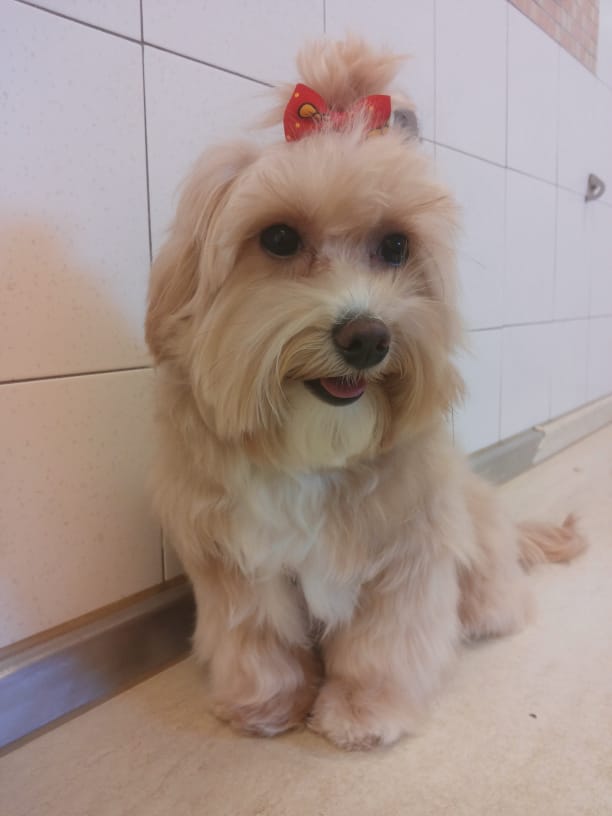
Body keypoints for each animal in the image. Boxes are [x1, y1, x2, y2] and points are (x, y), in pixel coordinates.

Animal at [145, 38, 586, 750]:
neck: (311, 455)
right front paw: (266, 705)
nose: (368, 337)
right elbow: (256, 640)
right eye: (278, 237)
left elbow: (385, 642)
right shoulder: (237, 562)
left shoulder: (406, 555)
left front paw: (364, 710)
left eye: (396, 245)